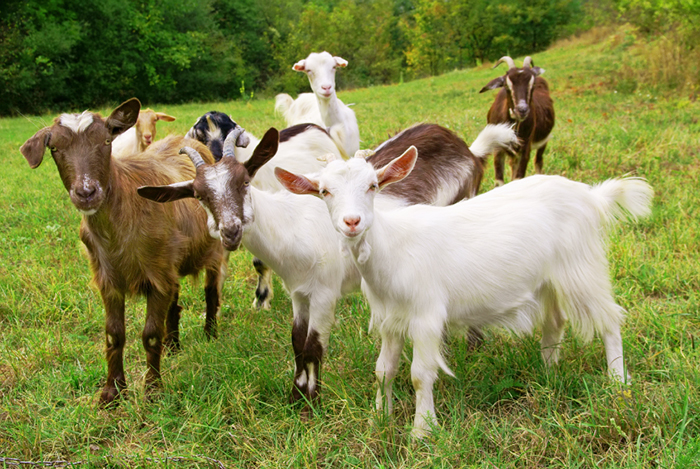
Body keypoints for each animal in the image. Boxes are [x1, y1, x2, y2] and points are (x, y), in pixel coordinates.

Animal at [19, 98, 226, 405]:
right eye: (54, 148)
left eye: (106, 141)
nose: (86, 193)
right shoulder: (109, 277)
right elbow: (113, 334)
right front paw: (112, 392)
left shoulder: (156, 274)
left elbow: (150, 334)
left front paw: (152, 390)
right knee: (175, 301)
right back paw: (173, 345)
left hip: (211, 250)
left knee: (211, 291)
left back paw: (211, 334)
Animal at [138, 123, 517, 416]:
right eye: (199, 194)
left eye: (244, 181)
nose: (230, 231)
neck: (292, 226)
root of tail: (468, 149)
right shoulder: (299, 292)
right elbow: (296, 341)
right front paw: (296, 396)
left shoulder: (324, 291)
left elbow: (313, 345)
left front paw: (310, 402)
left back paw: (473, 345)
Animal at [277, 148, 653, 437]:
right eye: (324, 191)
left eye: (372, 186)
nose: (352, 222)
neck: (392, 249)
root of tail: (591, 196)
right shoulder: (389, 319)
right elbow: (383, 370)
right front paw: (379, 419)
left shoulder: (426, 315)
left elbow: (420, 375)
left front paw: (422, 431)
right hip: (549, 278)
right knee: (556, 321)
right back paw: (548, 372)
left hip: (581, 267)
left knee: (609, 319)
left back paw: (617, 382)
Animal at [480, 56, 555, 186]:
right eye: (506, 85)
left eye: (532, 84)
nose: (522, 110)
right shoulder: (498, 149)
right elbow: (499, 182)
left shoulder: (525, 147)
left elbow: (518, 178)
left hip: (544, 140)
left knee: (538, 161)